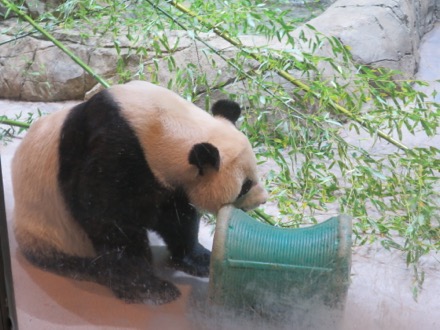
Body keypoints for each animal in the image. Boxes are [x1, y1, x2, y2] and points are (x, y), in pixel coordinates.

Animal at [11, 80, 268, 304]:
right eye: (245, 186)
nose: (262, 201)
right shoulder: (114, 153)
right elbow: (107, 219)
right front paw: (150, 288)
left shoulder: (168, 183)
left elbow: (177, 218)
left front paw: (199, 259)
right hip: (48, 229)